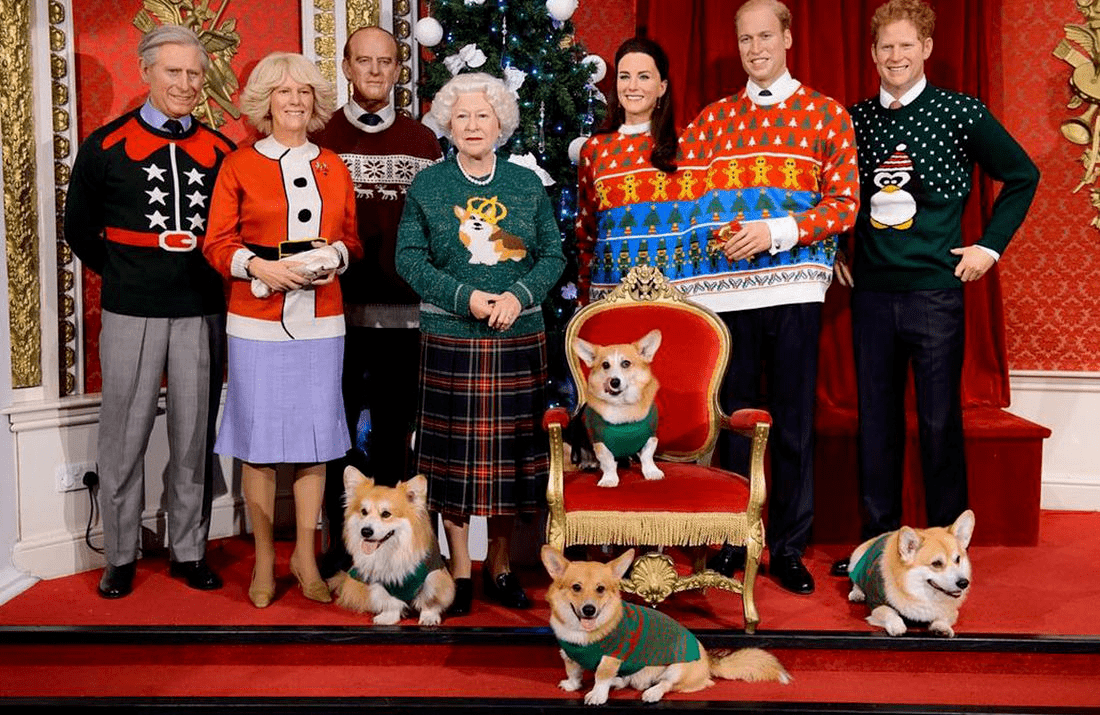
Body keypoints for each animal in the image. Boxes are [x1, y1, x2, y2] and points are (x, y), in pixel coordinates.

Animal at [323, 464, 453, 620]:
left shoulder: (434, 575)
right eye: (364, 512)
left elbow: (430, 599)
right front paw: (388, 617)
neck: (391, 550)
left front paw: (429, 617)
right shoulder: (379, 582)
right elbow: (389, 601)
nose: (366, 531)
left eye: (386, 514)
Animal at [541, 545, 792, 699]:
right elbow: (574, 672)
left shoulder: (611, 658)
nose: (589, 610)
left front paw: (596, 695)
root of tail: (710, 662)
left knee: (666, 684)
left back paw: (651, 693)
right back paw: (620, 682)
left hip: (677, 668)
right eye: (576, 587)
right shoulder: (569, 655)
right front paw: (572, 685)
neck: (584, 632)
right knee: (628, 681)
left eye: (600, 589)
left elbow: (601, 677)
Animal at [572, 327, 664, 484]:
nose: (614, 382)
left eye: (626, 363)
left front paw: (652, 472)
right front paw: (609, 480)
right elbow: (608, 461)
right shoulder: (600, 442)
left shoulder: (651, 437)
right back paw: (589, 463)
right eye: (605, 365)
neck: (623, 405)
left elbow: (647, 457)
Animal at [844, 506, 976, 633]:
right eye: (936, 563)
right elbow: (889, 613)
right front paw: (897, 626)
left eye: (958, 559)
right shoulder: (876, 604)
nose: (964, 583)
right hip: (856, 561)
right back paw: (857, 594)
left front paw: (941, 627)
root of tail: (881, 535)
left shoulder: (951, 610)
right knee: (856, 581)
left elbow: (944, 616)